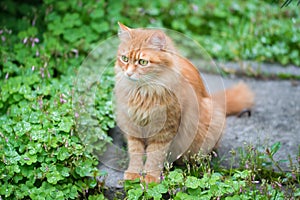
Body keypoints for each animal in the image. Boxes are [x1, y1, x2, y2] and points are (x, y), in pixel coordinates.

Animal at [113, 22, 254, 184]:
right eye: (124, 59)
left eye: (143, 62)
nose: (128, 73)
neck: (143, 92)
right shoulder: (133, 127)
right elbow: (135, 152)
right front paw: (134, 173)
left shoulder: (165, 130)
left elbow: (155, 156)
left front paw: (150, 177)